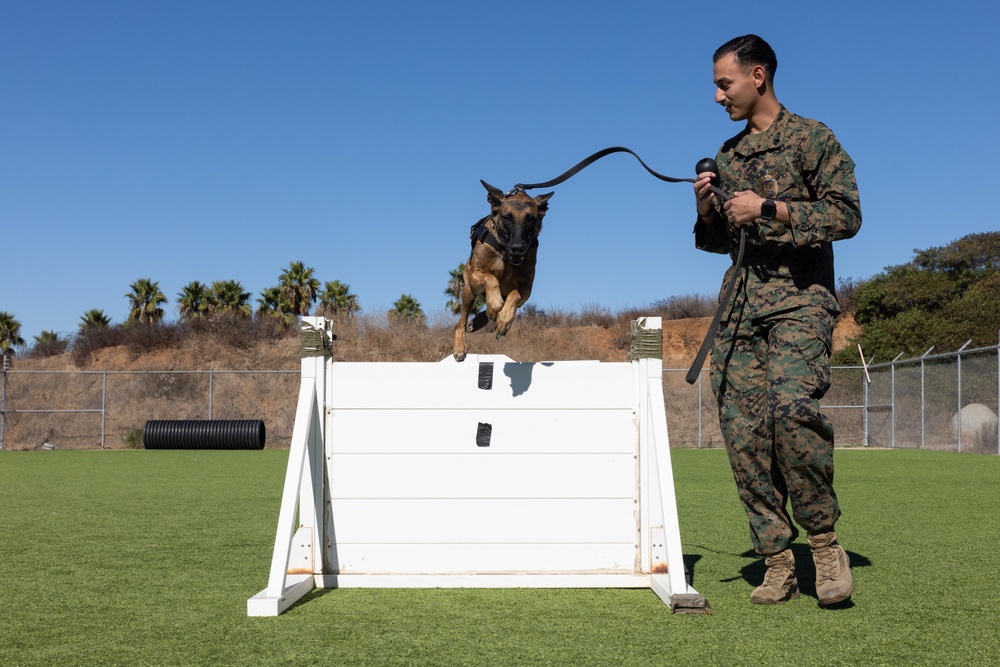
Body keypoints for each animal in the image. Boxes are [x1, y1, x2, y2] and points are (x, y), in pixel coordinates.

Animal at [454, 180, 556, 362]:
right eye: (507, 218)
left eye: (530, 219)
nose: (518, 248)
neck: (504, 252)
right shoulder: (476, 276)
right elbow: (491, 279)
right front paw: (495, 305)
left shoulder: (526, 289)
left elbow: (513, 296)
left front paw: (503, 320)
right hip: (468, 291)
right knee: (460, 323)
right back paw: (460, 346)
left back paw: (482, 320)